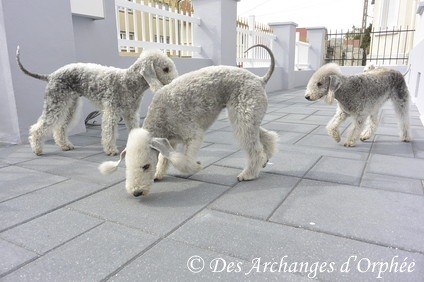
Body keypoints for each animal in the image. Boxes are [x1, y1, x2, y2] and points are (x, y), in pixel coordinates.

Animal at [16, 47, 177, 155]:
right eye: (166, 68)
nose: (174, 82)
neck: (128, 82)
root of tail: (51, 76)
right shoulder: (111, 112)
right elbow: (109, 132)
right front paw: (111, 150)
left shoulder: (131, 114)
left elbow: (134, 130)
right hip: (55, 103)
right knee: (38, 128)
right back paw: (37, 149)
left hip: (70, 105)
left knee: (60, 127)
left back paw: (65, 145)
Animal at [98, 45, 278, 197]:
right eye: (127, 166)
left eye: (146, 166)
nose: (136, 192)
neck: (160, 117)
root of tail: (259, 79)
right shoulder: (169, 140)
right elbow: (164, 158)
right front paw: (159, 174)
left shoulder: (193, 134)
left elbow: (184, 159)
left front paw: (195, 166)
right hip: (246, 116)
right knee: (266, 136)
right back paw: (265, 159)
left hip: (243, 116)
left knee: (255, 149)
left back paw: (248, 174)